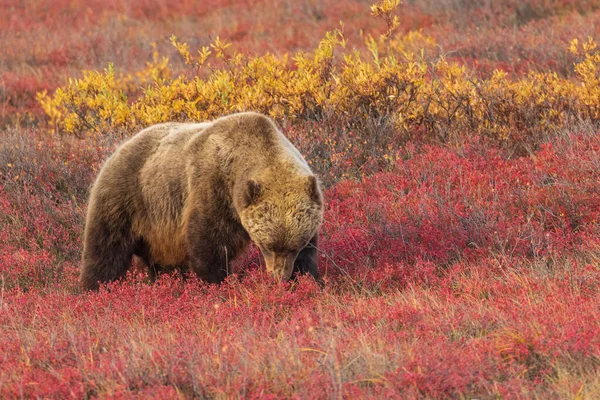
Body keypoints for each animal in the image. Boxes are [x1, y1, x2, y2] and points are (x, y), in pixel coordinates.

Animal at [81, 112, 324, 290]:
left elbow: (308, 257)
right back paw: (95, 288)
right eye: (267, 245)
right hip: (127, 199)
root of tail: (119, 148)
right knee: (106, 249)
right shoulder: (212, 190)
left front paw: (308, 279)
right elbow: (209, 243)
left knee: (163, 262)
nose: (279, 277)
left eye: (295, 245)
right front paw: (217, 283)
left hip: (157, 232)